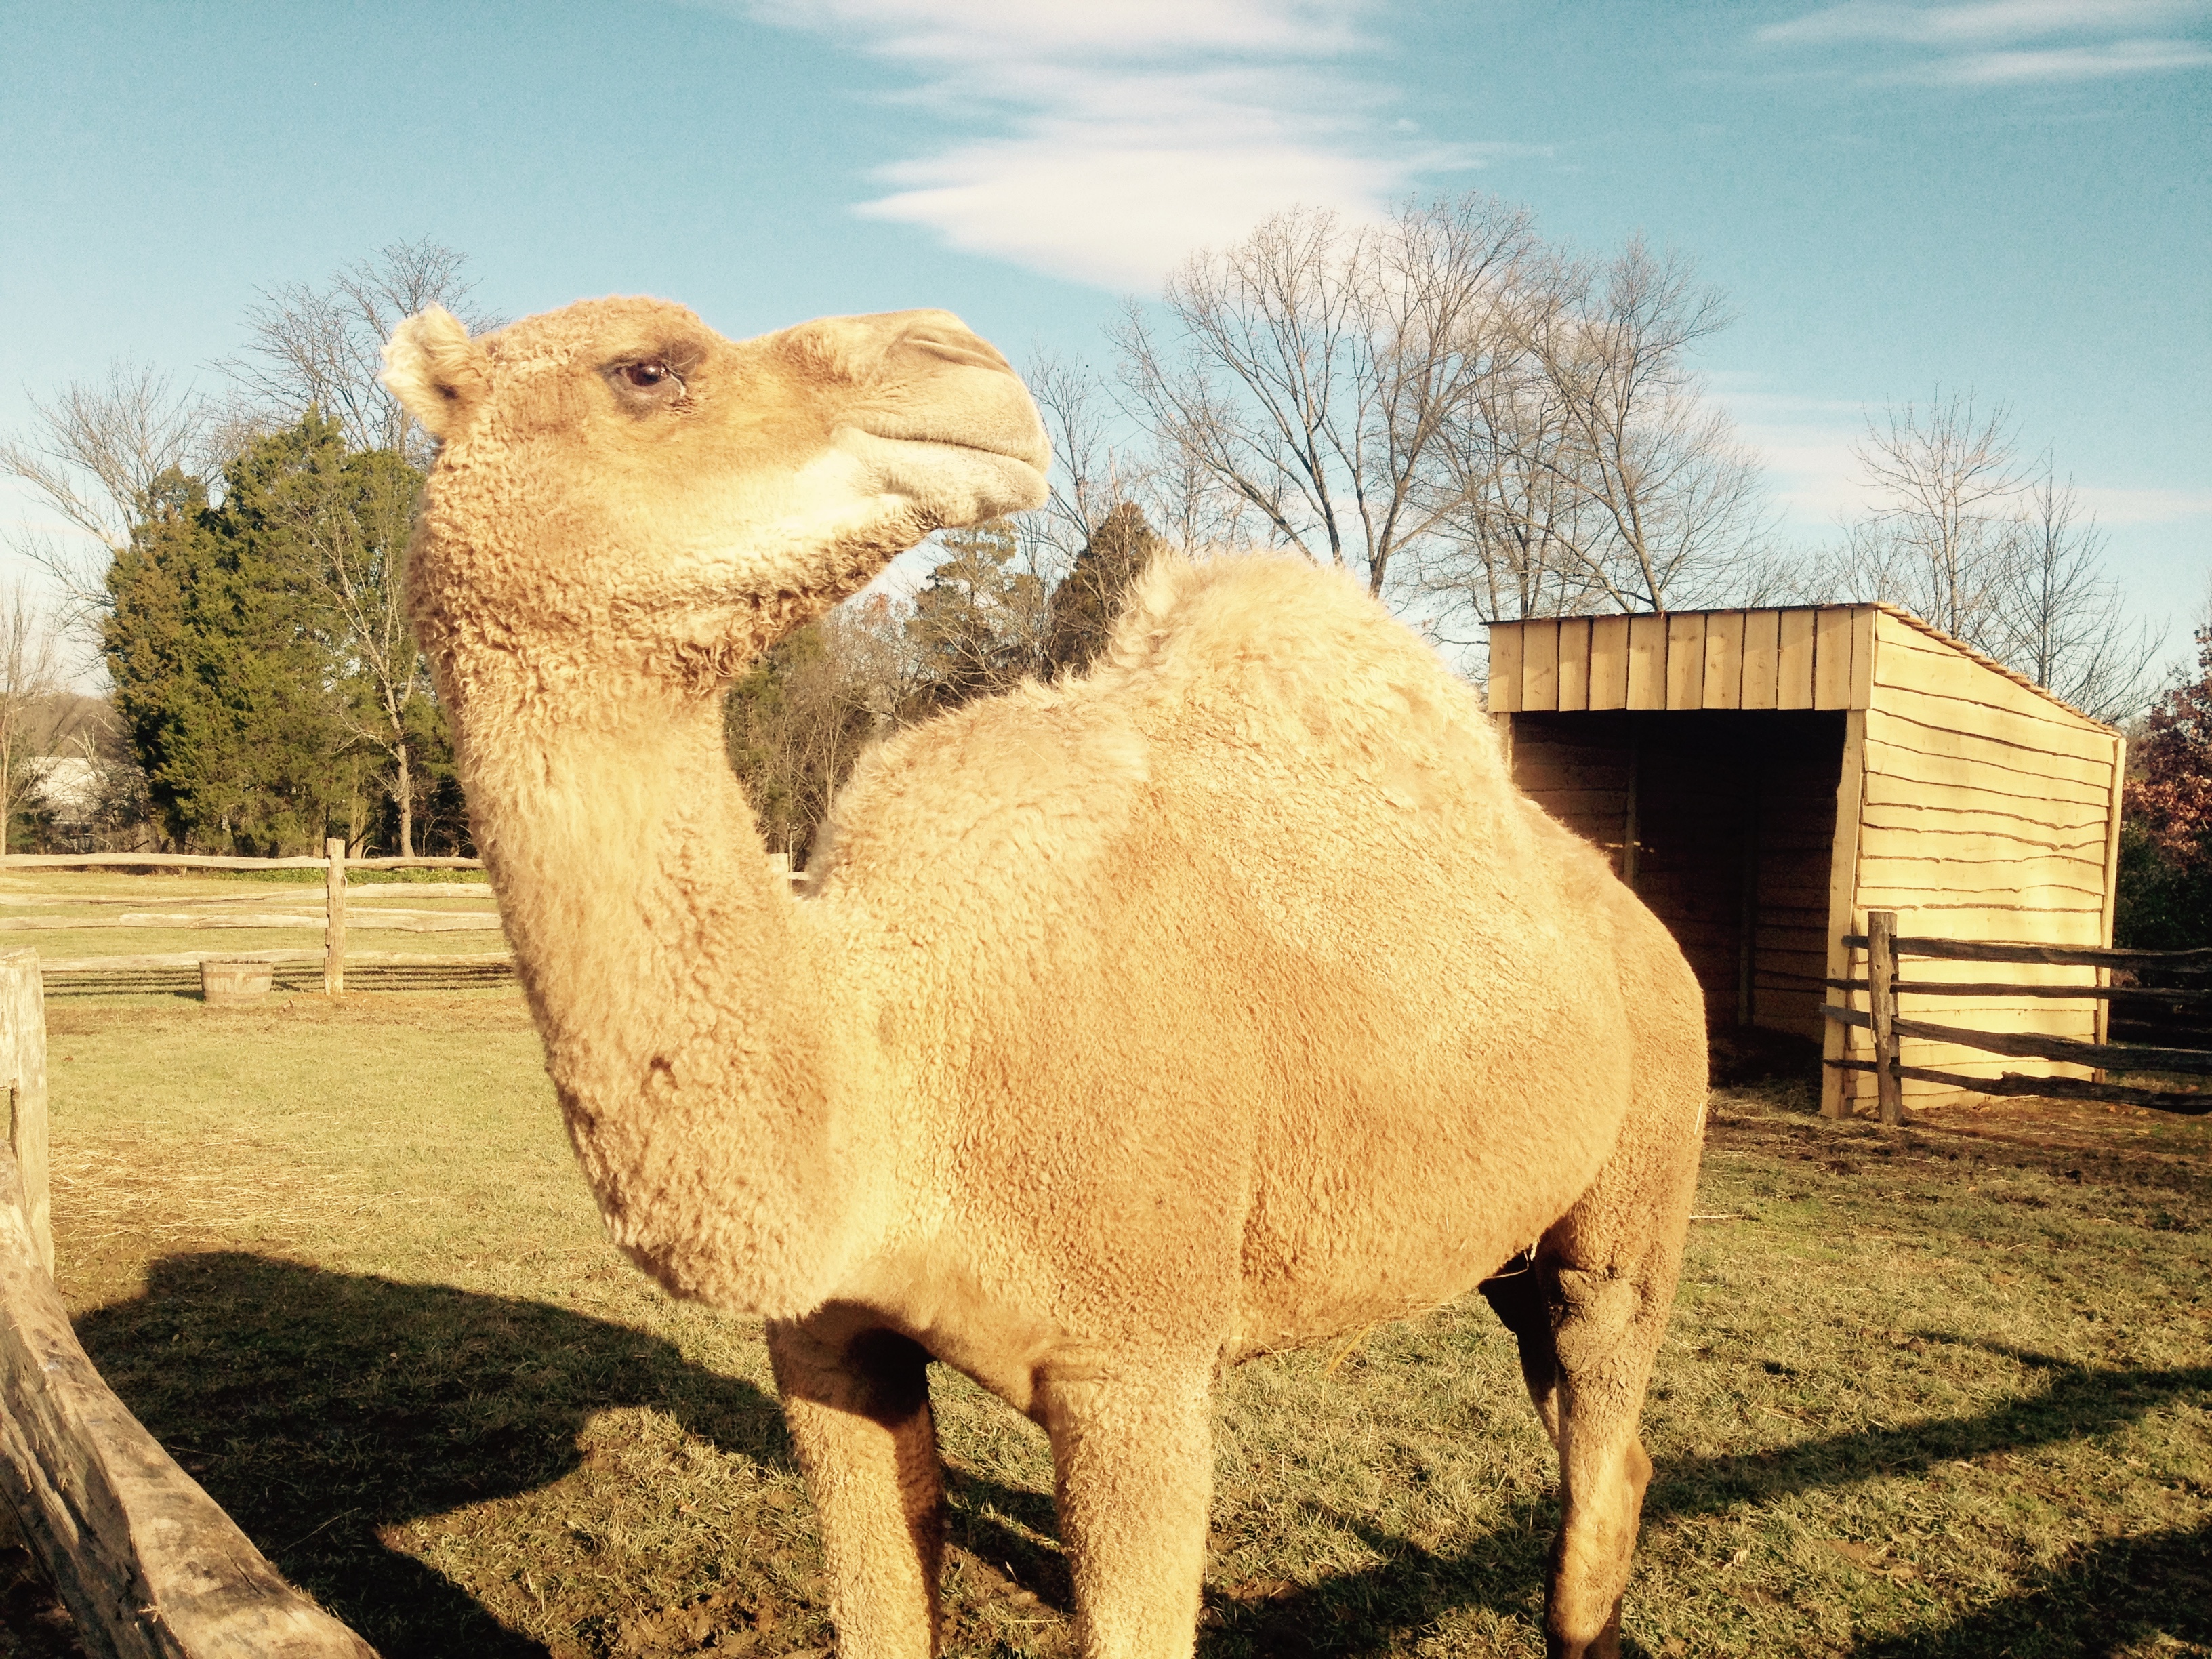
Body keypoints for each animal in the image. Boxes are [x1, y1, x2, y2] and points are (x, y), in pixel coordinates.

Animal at [382, 295, 1708, 1659]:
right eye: (646, 370)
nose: (962, 357)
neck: (896, 1064)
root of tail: (1639, 924)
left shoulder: (1139, 1363)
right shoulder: (826, 1345)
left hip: (1634, 1192)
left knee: (1602, 1396)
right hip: (1508, 1245)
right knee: (1602, 1443)